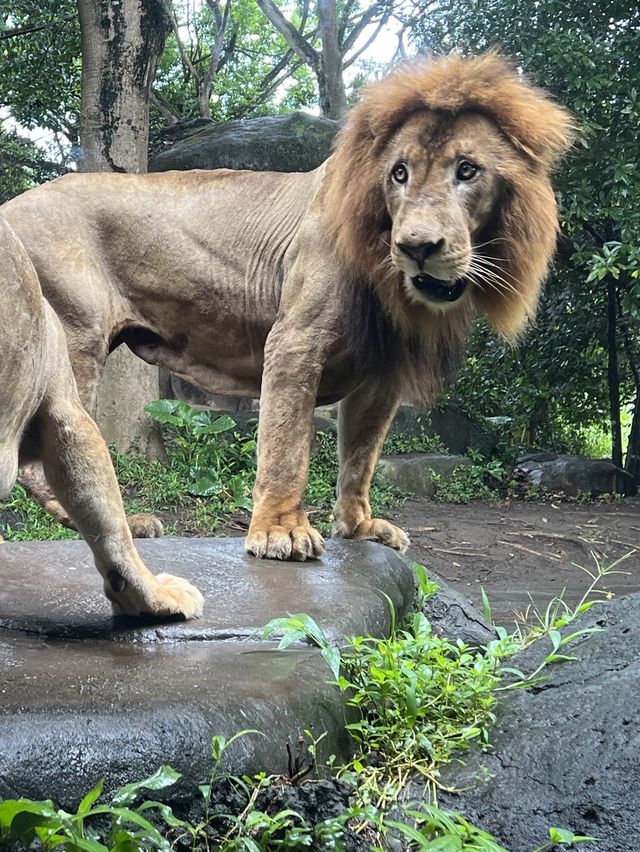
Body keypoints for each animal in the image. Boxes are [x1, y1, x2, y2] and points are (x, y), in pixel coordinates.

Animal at [2, 51, 572, 560]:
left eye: (468, 170)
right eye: (399, 173)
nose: (417, 246)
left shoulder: (380, 372)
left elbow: (361, 455)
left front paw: (359, 526)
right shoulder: (297, 340)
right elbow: (287, 442)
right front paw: (280, 531)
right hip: (72, 336)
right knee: (43, 457)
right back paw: (125, 521)